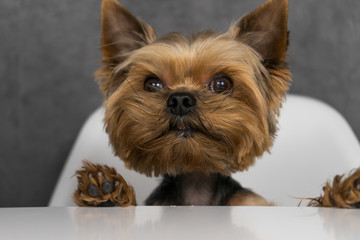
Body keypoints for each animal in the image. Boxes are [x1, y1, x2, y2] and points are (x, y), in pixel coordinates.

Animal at [72, 0, 360, 207]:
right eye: (152, 84)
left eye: (222, 83)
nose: (180, 99)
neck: (196, 186)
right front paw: (106, 193)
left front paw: (343, 196)